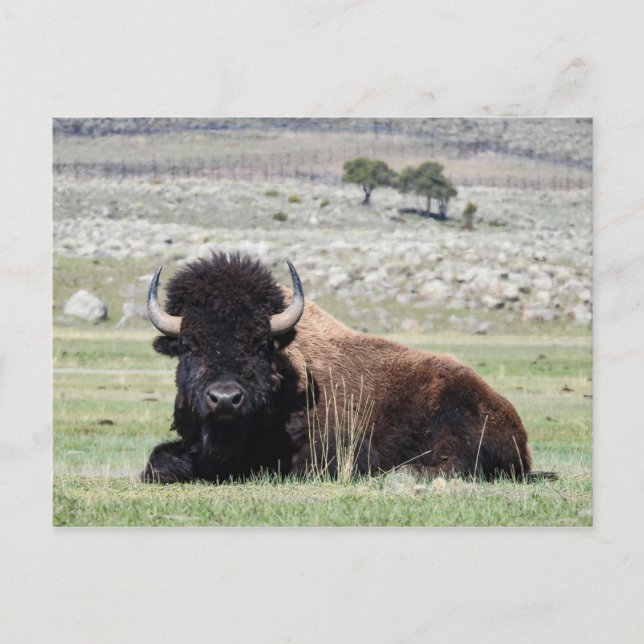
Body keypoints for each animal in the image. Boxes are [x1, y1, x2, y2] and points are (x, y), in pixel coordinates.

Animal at [142, 252, 553, 484]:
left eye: (260, 344)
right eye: (189, 345)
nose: (225, 399)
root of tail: (514, 422)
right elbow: (157, 462)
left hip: (456, 419)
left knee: (455, 465)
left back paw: (406, 474)